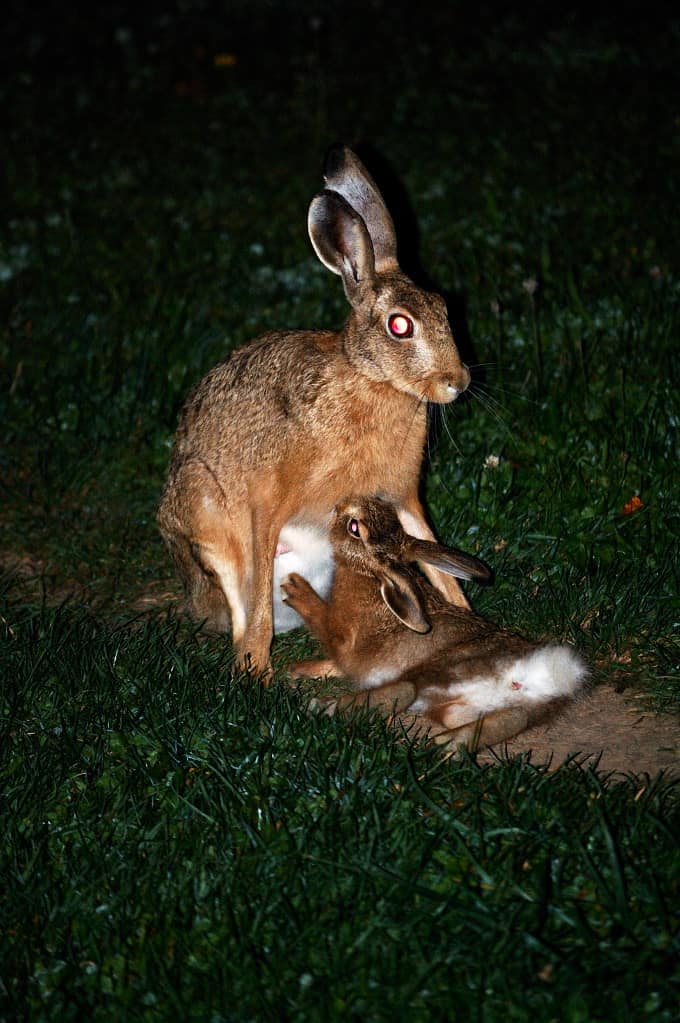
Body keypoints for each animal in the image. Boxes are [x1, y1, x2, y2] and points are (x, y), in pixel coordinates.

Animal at [157, 145, 475, 678]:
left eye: (443, 309)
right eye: (400, 326)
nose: (458, 382)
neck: (372, 379)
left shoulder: (401, 497)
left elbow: (433, 555)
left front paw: (470, 616)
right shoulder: (266, 506)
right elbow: (259, 602)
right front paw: (255, 671)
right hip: (207, 517)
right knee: (242, 605)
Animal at [280, 496, 588, 751]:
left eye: (354, 527)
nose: (339, 506)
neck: (369, 575)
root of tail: (547, 673)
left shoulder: (342, 639)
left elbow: (322, 623)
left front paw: (294, 589)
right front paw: (299, 669)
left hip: (446, 667)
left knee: (405, 689)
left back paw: (323, 706)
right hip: (471, 709)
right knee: (513, 719)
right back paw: (448, 744)